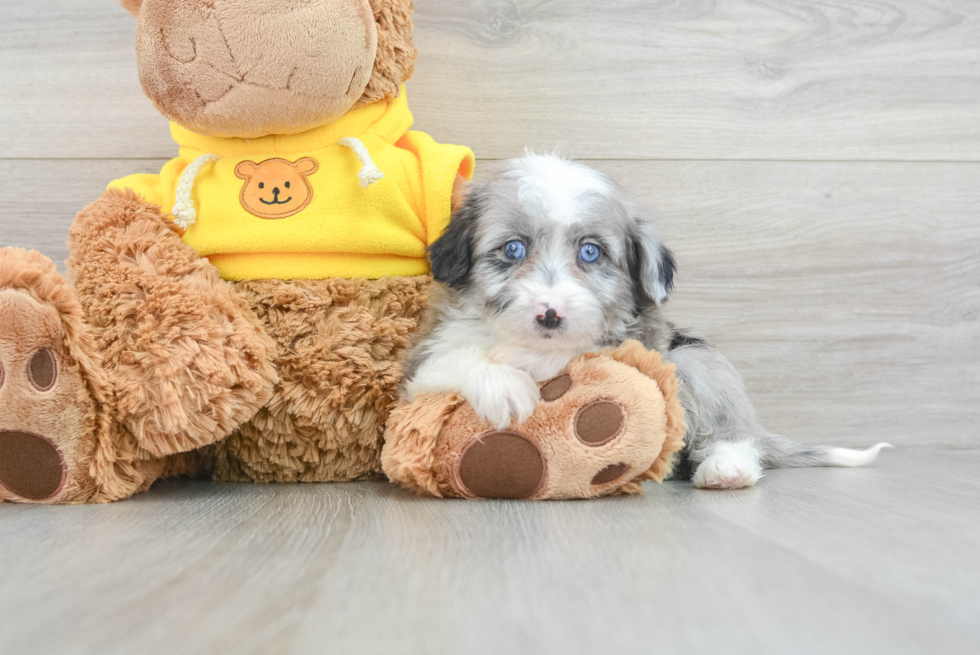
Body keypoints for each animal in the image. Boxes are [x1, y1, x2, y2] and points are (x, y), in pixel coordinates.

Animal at [402, 156, 892, 490]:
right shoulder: (418, 370)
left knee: (732, 429)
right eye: (513, 249)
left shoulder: (638, 343)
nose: (550, 314)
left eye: (591, 252)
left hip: (693, 358)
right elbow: (452, 361)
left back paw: (726, 467)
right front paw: (504, 384)